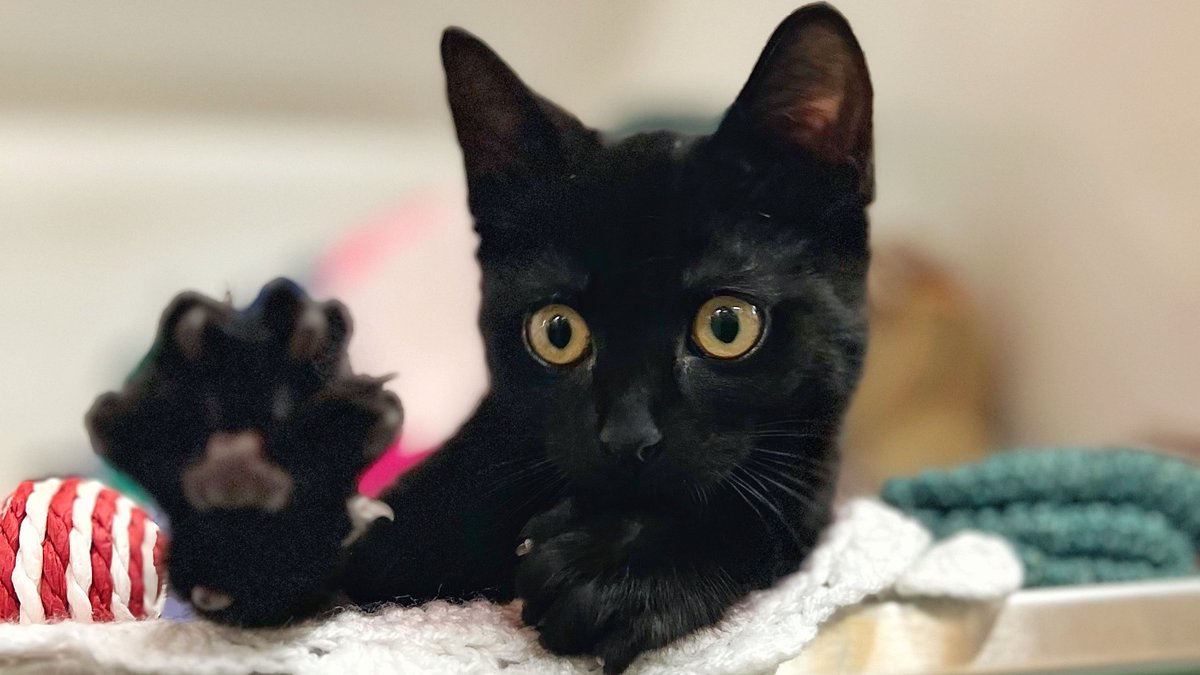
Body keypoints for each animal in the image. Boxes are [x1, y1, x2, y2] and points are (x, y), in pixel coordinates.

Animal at [84, 3, 873, 667]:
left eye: (726, 325)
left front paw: (612, 571)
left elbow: (754, 515)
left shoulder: (806, 507)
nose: (627, 437)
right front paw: (248, 438)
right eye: (557, 331)